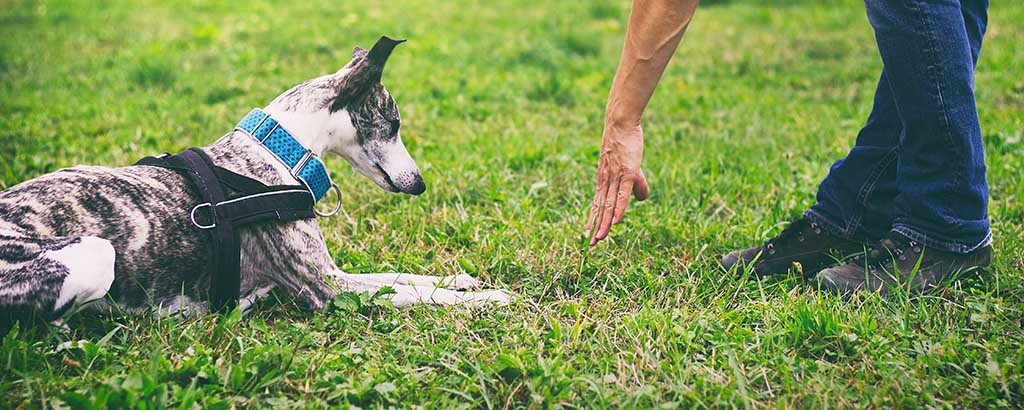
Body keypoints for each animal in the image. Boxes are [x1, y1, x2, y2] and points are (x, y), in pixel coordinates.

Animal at [0, 36, 512, 323]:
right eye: (394, 123)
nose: (419, 184)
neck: (277, 150)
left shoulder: (336, 274)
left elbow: (401, 277)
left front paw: (460, 280)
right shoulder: (327, 288)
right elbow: (412, 294)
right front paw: (490, 299)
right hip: (93, 254)